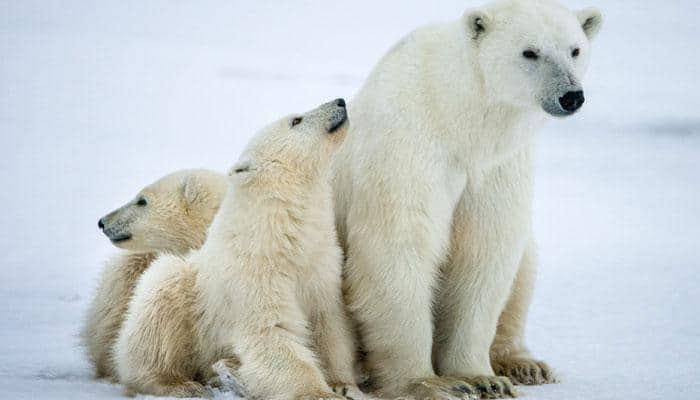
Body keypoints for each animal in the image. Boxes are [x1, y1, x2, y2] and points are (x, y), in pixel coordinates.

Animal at [113, 98, 360, 398]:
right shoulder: (254, 275)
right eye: (296, 120)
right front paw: (318, 392)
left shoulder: (321, 266)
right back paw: (180, 383)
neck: (281, 235)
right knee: (154, 327)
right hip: (178, 292)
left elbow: (329, 325)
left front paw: (344, 384)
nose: (340, 101)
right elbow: (270, 331)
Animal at [334, 0, 600, 398]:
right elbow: (398, 249)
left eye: (575, 49)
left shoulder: (496, 167)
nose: (571, 96)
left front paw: (482, 378)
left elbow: (483, 254)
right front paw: (427, 383)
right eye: (530, 52)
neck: (458, 119)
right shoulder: (408, 149)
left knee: (524, 267)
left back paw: (524, 364)